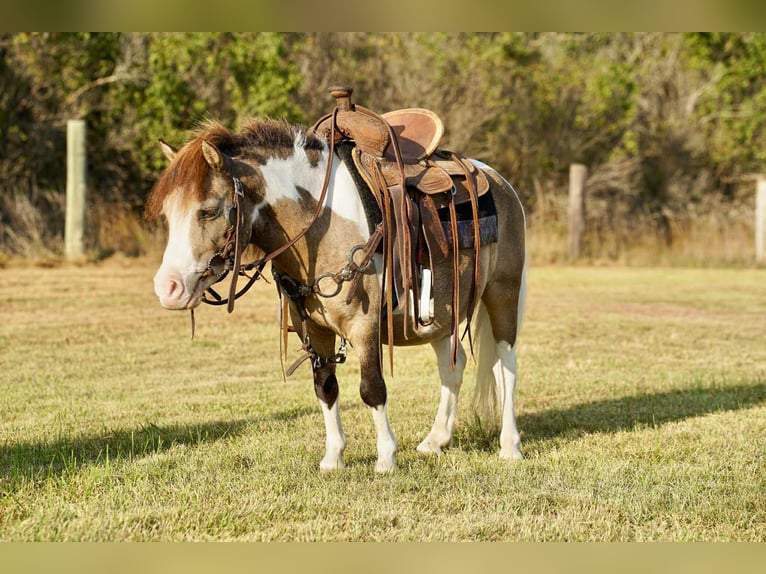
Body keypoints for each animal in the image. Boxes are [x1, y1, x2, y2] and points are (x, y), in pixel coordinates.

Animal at [146, 116, 527, 473]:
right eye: (167, 215)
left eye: (208, 210)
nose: (168, 287)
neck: (320, 227)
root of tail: (499, 181)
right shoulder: (313, 329)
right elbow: (325, 388)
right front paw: (333, 457)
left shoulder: (365, 325)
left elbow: (372, 388)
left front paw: (386, 457)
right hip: (435, 316)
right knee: (453, 368)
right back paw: (436, 440)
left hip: (502, 294)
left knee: (505, 368)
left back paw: (509, 446)